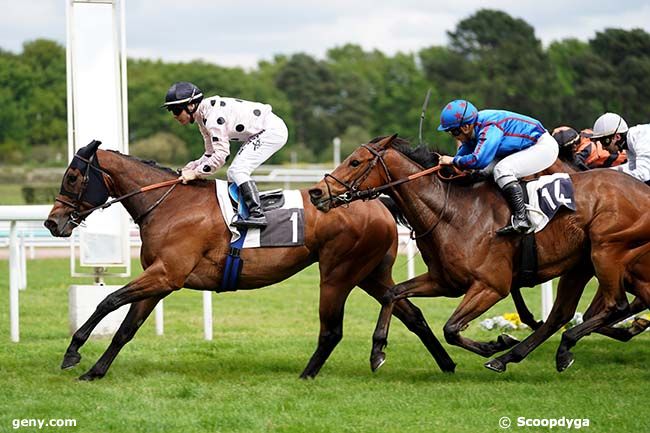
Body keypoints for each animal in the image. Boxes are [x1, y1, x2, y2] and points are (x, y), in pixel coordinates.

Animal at [45, 140, 454, 380]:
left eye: (73, 176)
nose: (52, 222)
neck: (170, 205)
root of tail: (379, 202)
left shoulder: (166, 275)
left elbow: (107, 300)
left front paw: (72, 352)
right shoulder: (159, 279)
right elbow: (126, 328)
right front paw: (95, 371)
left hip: (338, 273)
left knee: (333, 330)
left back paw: (306, 375)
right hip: (371, 275)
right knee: (410, 312)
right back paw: (445, 364)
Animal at [306, 134, 648, 372]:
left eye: (355, 162)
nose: (316, 192)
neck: (451, 213)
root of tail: (640, 189)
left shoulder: (491, 286)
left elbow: (451, 328)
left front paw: (494, 343)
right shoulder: (443, 281)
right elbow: (393, 293)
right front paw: (378, 350)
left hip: (606, 251)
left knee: (615, 305)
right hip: (580, 265)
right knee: (560, 315)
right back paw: (523, 355)